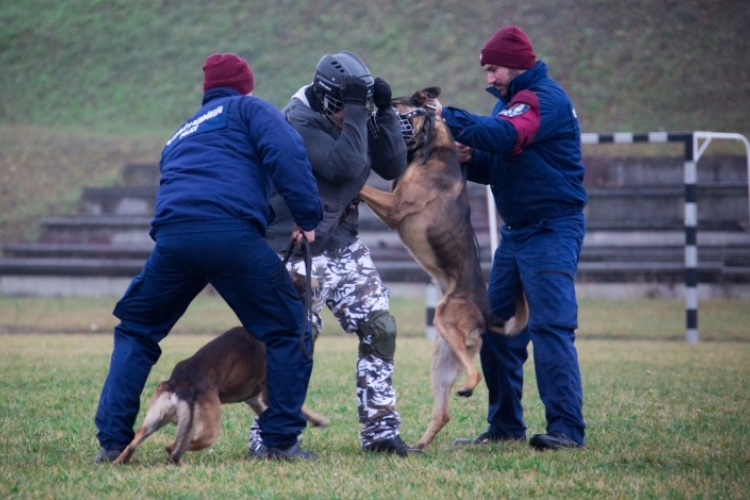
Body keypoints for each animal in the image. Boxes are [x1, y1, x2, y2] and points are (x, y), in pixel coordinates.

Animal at [114, 326, 328, 466]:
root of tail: (181, 384)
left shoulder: (253, 398)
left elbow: (263, 413)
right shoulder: (268, 391)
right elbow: (298, 406)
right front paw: (317, 421)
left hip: (153, 422)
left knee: (134, 444)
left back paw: (118, 461)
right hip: (208, 432)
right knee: (172, 447)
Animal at [358, 87, 528, 450]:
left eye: (394, 105)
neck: (430, 148)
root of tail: (486, 315)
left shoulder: (394, 207)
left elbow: (364, 186)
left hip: (446, 320)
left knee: (474, 374)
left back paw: (467, 389)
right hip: (441, 360)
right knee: (444, 413)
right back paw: (418, 446)